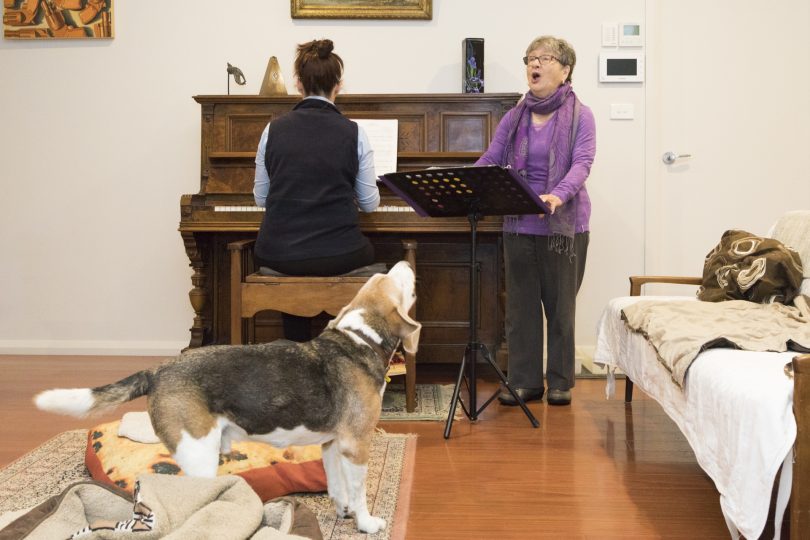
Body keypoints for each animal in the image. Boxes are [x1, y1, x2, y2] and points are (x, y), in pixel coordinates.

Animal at [34, 260, 420, 532]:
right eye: (395, 280)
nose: (405, 261)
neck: (359, 338)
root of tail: (158, 370)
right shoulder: (357, 445)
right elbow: (358, 490)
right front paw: (367, 523)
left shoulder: (331, 443)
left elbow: (338, 486)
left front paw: (343, 512)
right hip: (199, 455)